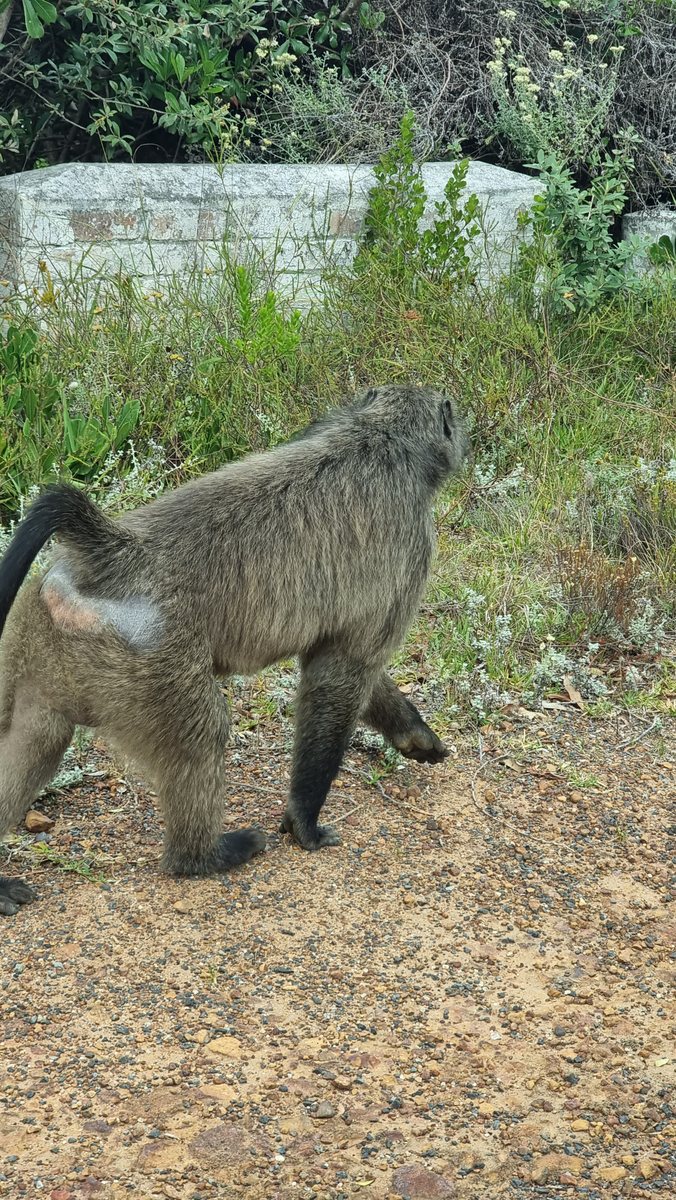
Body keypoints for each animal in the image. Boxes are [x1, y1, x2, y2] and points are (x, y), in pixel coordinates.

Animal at [0, 384, 467, 916]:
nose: (465, 438)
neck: (378, 436)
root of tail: (114, 552)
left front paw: (416, 736)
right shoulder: (410, 546)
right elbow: (343, 669)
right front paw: (304, 823)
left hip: (40, 637)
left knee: (37, 741)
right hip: (151, 663)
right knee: (202, 734)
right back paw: (206, 856)